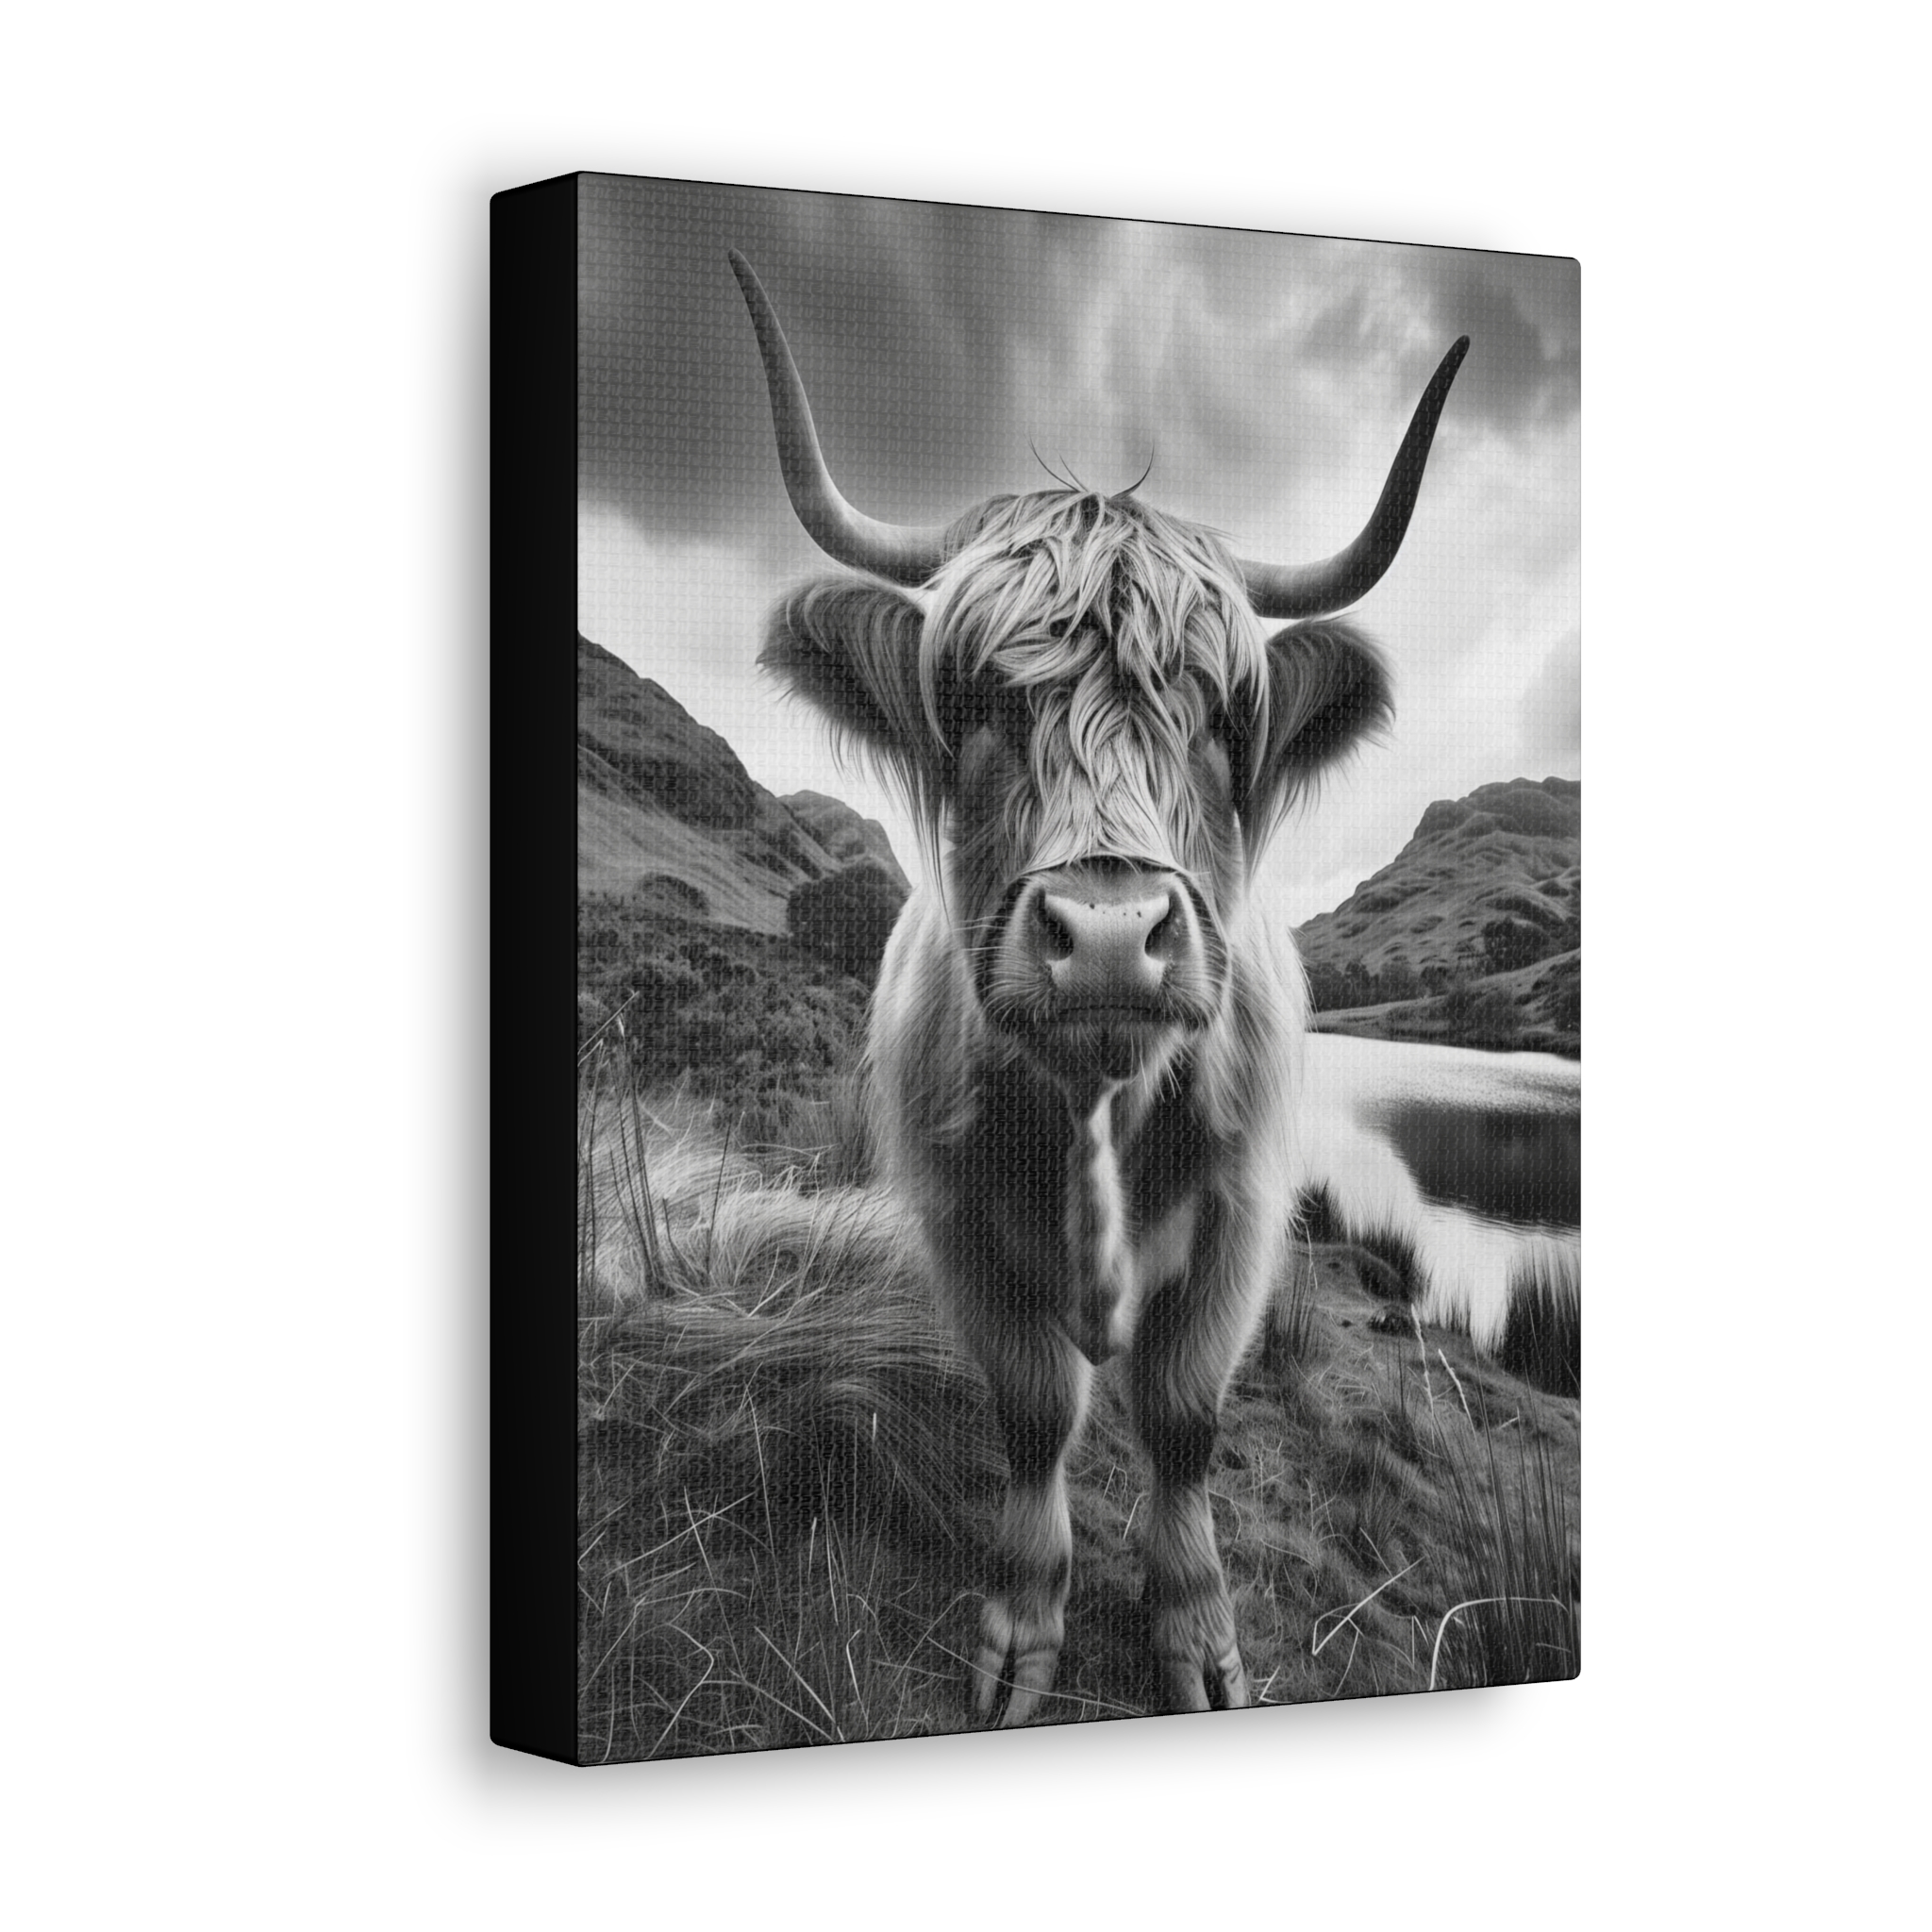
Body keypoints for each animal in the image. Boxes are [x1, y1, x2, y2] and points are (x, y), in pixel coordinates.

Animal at [731, 251, 1467, 1723]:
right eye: (976, 704)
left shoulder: (1246, 1212)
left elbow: (1183, 1418)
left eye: (1224, 716)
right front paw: (1024, 1625)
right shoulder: (955, 1216)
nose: (1114, 934)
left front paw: (1196, 1633)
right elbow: (1033, 1411)